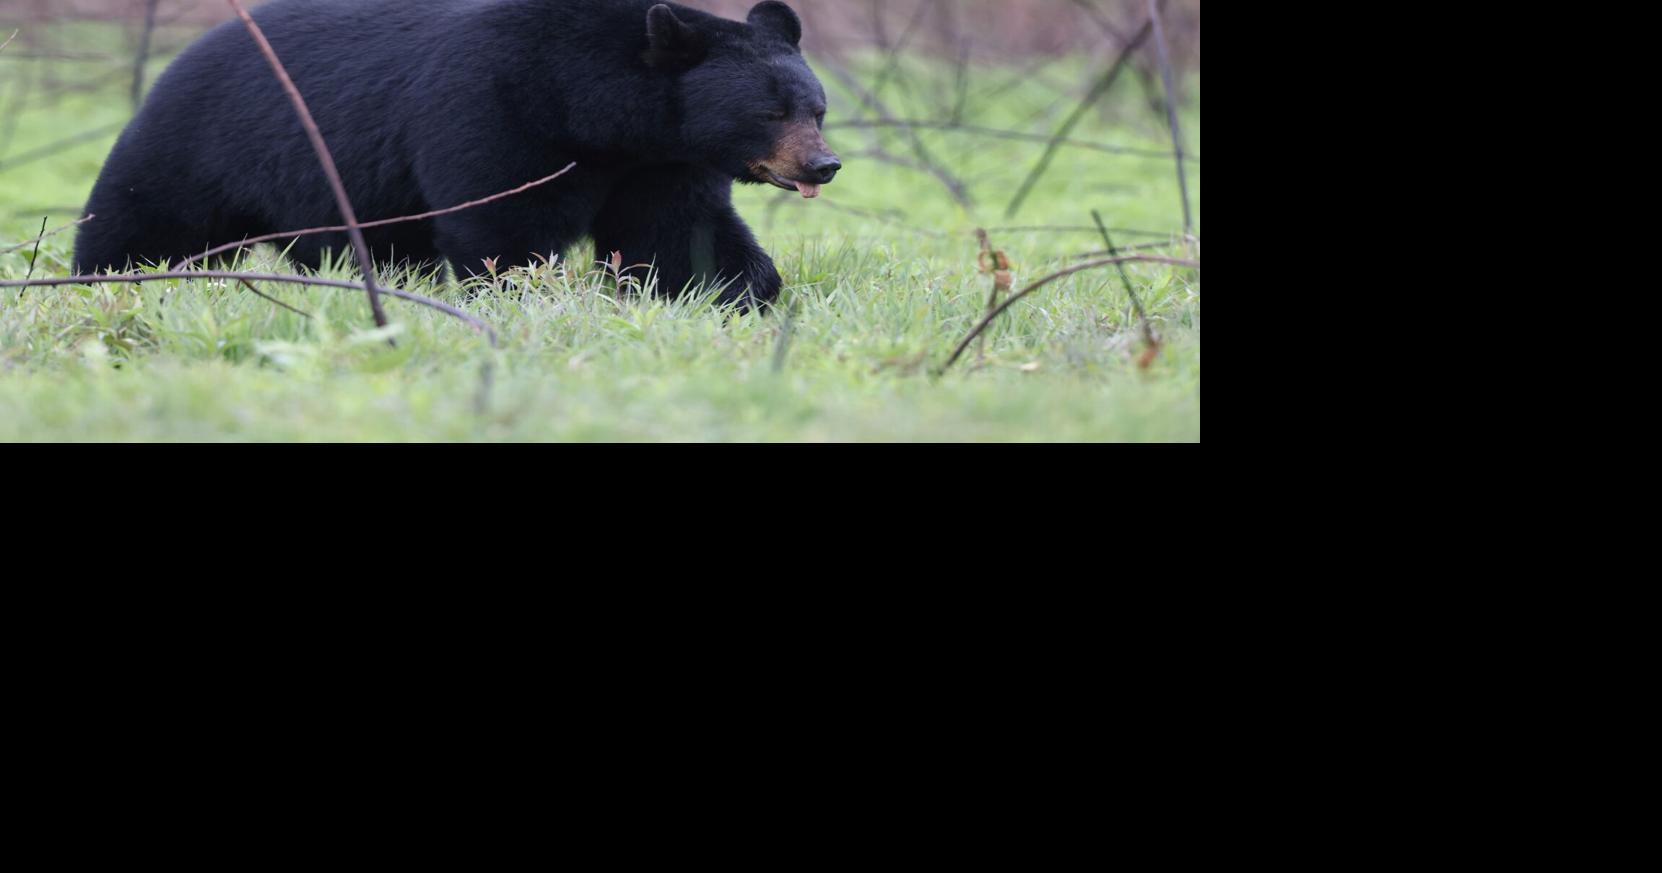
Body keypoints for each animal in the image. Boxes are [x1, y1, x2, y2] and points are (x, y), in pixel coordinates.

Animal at [73, 0, 841, 307]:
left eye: (817, 108)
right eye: (769, 111)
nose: (823, 165)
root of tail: (182, 58)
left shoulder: (658, 163)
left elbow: (679, 233)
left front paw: (745, 291)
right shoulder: (496, 110)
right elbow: (503, 225)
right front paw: (515, 297)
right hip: (202, 143)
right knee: (142, 215)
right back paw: (103, 278)